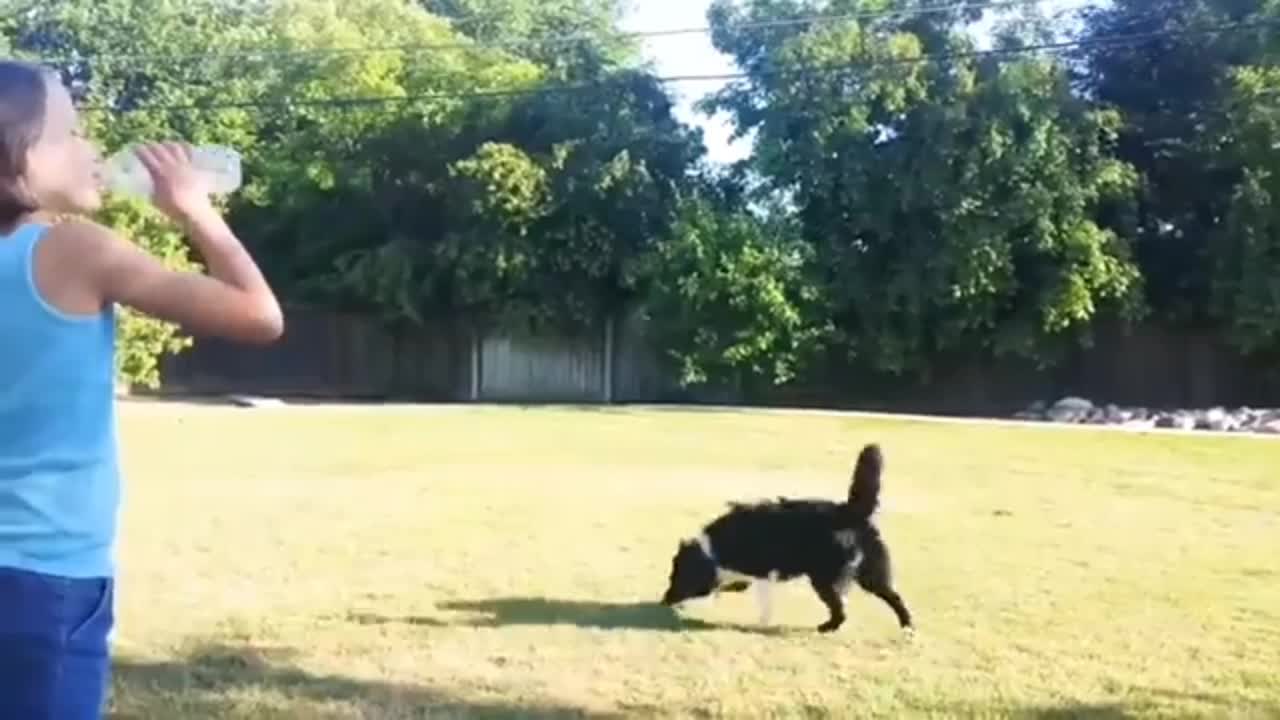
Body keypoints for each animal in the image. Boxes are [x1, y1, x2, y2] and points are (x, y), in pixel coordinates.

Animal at [660, 440, 911, 630]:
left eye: (676, 576)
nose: (664, 601)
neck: (713, 549)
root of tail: (850, 511)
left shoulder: (762, 572)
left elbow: (760, 601)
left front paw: (761, 622)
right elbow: (731, 585)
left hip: (824, 578)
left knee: (841, 609)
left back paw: (827, 627)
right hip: (871, 575)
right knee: (894, 597)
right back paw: (907, 628)